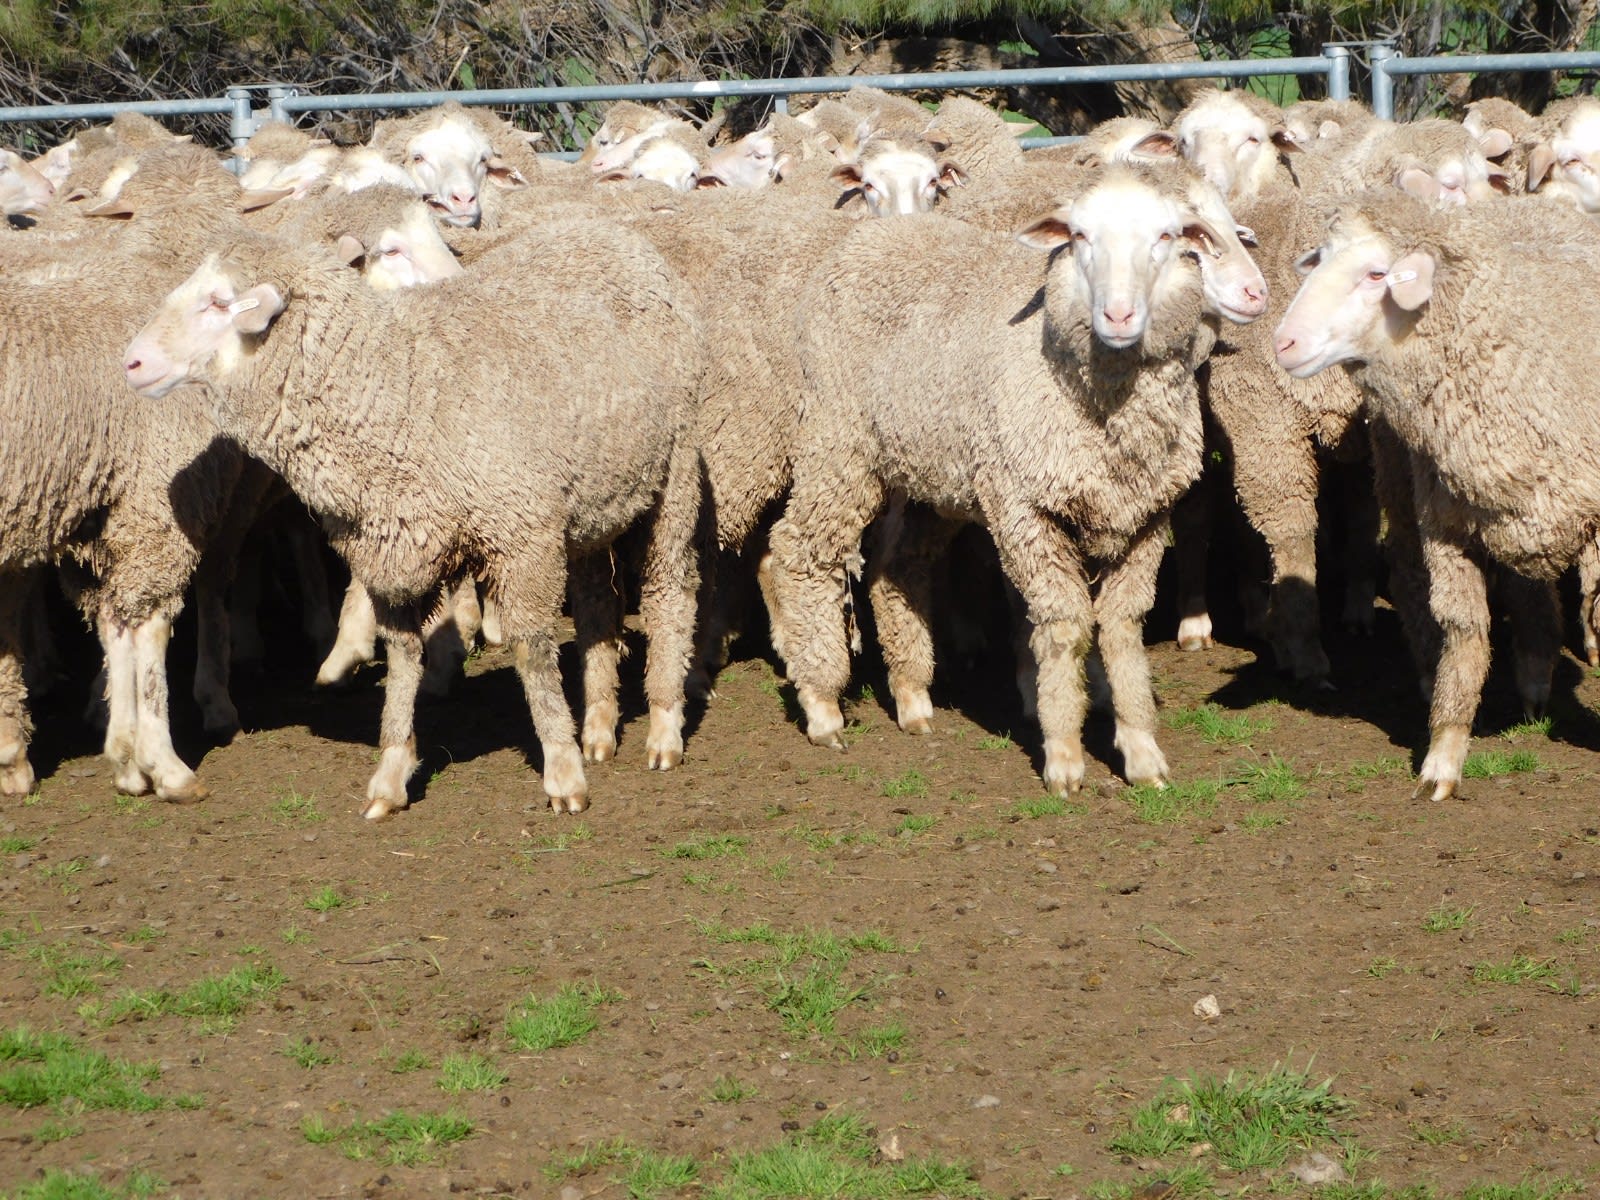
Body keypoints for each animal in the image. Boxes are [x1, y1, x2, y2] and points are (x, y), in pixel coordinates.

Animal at [123, 219, 706, 818]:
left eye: (218, 302)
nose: (132, 363)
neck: (399, 386)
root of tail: (614, 233)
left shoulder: (522, 535)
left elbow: (532, 650)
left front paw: (562, 774)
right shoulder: (389, 549)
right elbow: (403, 657)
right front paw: (392, 772)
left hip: (676, 464)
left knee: (670, 589)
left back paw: (663, 727)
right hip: (591, 503)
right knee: (595, 604)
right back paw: (598, 727)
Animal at [764, 165, 1219, 793]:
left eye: (1167, 236)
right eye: (1079, 236)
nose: (1119, 316)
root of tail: (868, 237)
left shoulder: (1146, 516)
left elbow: (1122, 628)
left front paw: (1141, 750)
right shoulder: (1025, 509)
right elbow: (1064, 625)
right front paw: (1064, 756)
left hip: (932, 473)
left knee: (896, 567)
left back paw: (912, 696)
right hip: (839, 438)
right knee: (799, 549)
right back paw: (822, 703)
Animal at [1272, 190, 1600, 800]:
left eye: (1377, 274)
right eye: (1319, 258)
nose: (1283, 343)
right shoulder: (1447, 526)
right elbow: (1463, 635)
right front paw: (1443, 757)